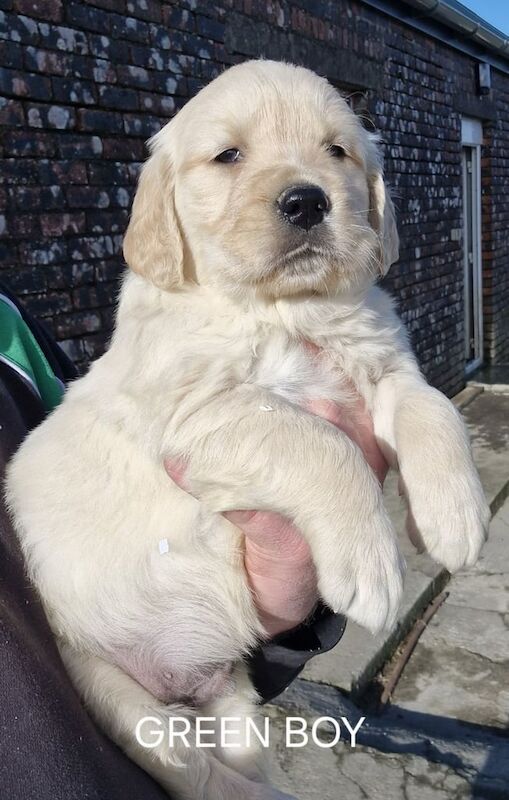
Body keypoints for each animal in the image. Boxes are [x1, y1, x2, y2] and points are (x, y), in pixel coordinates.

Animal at [4, 61, 488, 800]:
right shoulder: (198, 413)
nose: (307, 201)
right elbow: (319, 442)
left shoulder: (379, 364)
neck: (282, 309)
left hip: (231, 706)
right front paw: (372, 565)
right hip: (115, 697)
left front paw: (456, 517)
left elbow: (430, 405)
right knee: (204, 775)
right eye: (228, 155)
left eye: (336, 151)